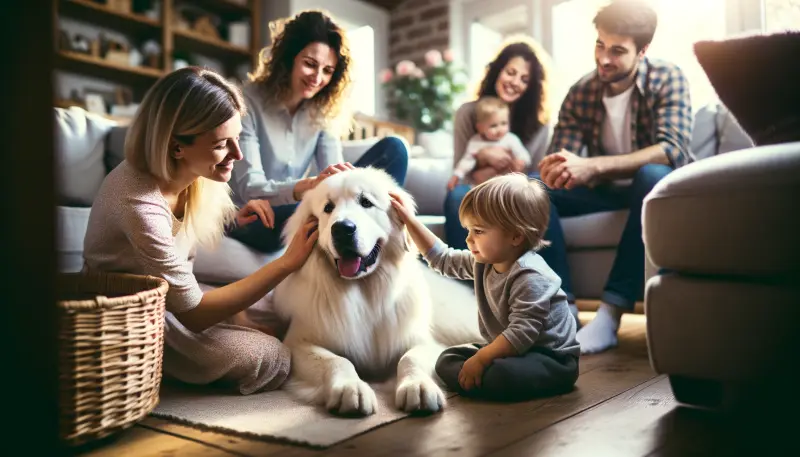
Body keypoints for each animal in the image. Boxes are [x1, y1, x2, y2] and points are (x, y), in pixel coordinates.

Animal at [272, 167, 478, 416]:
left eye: (366, 202)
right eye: (328, 208)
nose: (342, 229)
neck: (365, 291)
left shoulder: (423, 340)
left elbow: (411, 358)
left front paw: (417, 386)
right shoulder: (298, 344)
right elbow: (336, 361)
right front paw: (350, 388)